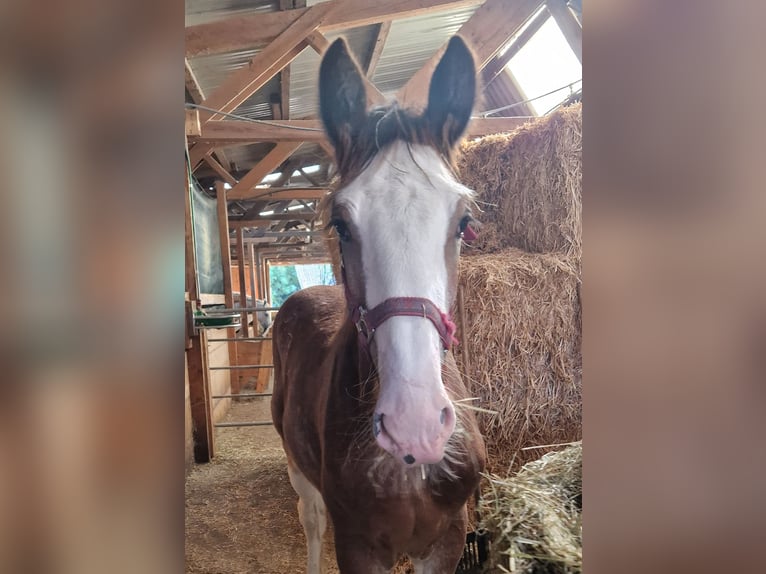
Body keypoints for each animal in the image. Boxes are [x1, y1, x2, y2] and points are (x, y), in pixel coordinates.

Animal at [271, 36, 486, 574]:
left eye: (463, 222)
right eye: (341, 225)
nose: (415, 425)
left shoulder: (447, 539)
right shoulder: (358, 545)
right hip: (297, 467)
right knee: (311, 522)